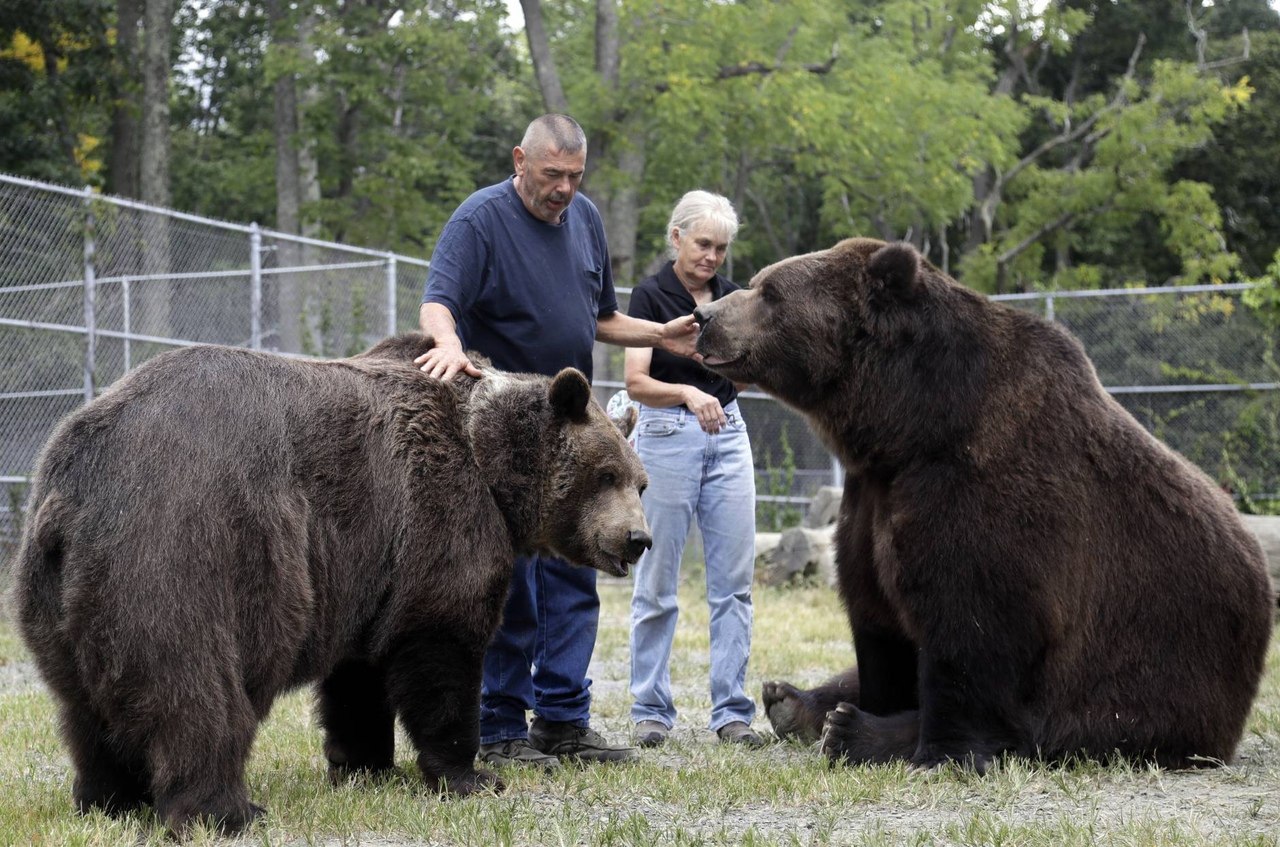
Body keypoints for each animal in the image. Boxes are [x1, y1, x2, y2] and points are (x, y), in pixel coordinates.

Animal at [5, 332, 650, 834]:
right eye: (605, 474)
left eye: (639, 482)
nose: (636, 539)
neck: (491, 461)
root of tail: (78, 485)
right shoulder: (440, 514)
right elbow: (442, 645)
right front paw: (470, 775)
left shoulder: (371, 561)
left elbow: (359, 671)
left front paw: (362, 763)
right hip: (186, 549)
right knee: (195, 692)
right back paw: (227, 811)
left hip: (58, 592)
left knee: (84, 705)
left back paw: (108, 800)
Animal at [696, 239, 1274, 777]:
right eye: (758, 282)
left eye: (770, 292)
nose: (705, 318)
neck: (908, 427)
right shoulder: (872, 497)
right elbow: (876, 618)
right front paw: (855, 707)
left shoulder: (983, 492)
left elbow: (972, 630)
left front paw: (928, 748)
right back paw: (792, 701)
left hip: (1155, 677)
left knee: (1061, 724)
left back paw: (849, 728)